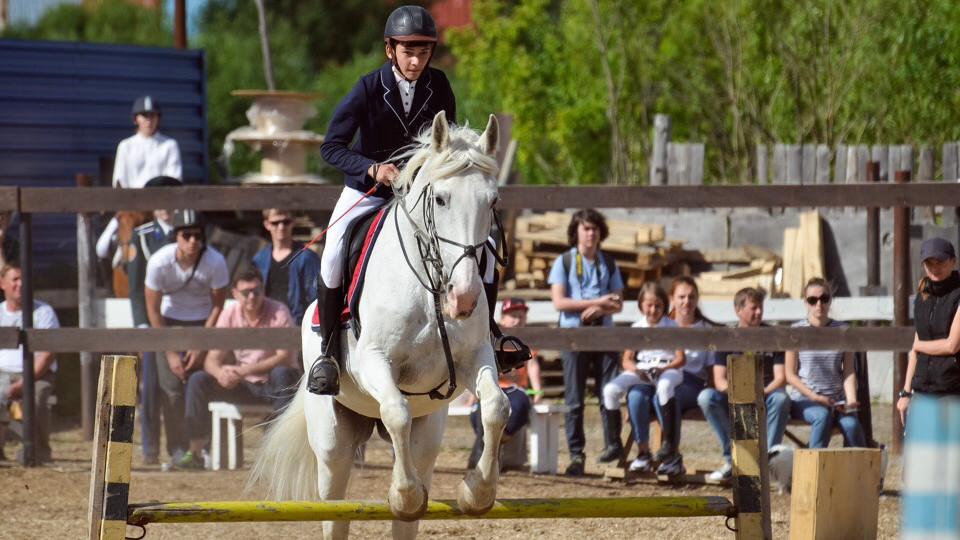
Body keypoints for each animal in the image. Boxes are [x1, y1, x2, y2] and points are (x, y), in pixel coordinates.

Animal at [251, 112, 512, 536]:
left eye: (492, 202)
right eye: (441, 199)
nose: (464, 298)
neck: (429, 287)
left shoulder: (474, 357)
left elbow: (495, 408)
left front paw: (477, 492)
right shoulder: (373, 361)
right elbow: (396, 412)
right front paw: (403, 495)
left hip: (428, 435)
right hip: (333, 443)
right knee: (335, 507)